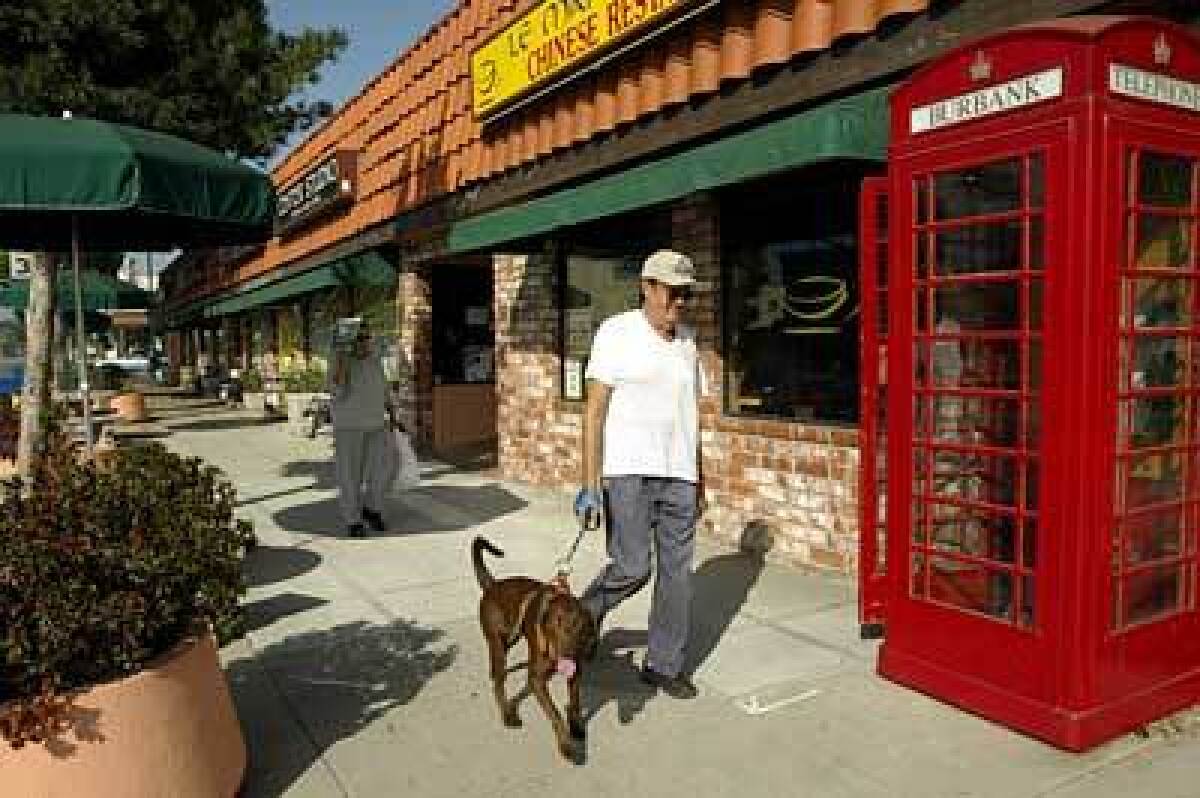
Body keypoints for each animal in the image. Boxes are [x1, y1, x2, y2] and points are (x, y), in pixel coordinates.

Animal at [472, 535, 595, 758]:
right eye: (557, 623)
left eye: (580, 625)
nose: (566, 654)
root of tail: (492, 585)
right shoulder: (536, 680)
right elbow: (555, 714)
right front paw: (566, 744)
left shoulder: (576, 672)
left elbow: (575, 701)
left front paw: (576, 726)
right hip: (498, 642)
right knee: (499, 680)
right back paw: (507, 714)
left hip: (511, 638)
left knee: (496, 671)